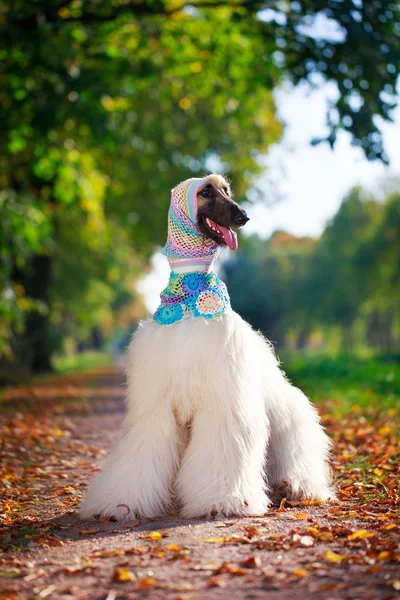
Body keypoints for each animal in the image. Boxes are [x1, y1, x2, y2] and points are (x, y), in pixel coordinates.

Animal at [79, 173, 334, 520]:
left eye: (227, 190)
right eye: (206, 192)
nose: (244, 216)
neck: (190, 303)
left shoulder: (224, 403)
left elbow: (222, 446)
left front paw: (225, 500)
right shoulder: (156, 407)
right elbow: (144, 448)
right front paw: (121, 502)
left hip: (289, 424)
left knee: (298, 460)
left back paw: (297, 487)